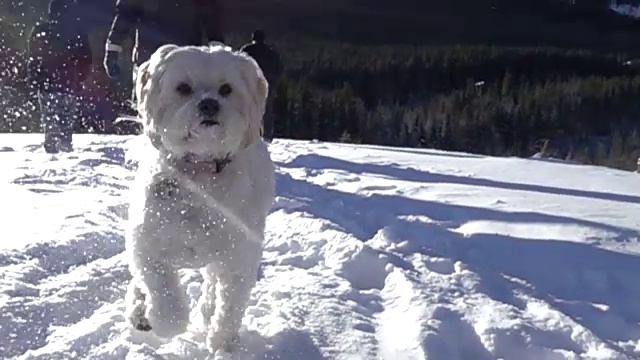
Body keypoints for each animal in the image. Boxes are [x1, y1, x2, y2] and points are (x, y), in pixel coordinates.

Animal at [124, 43, 276, 354]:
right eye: (183, 88)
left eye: (226, 89)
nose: (209, 104)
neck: (201, 172)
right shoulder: (147, 243)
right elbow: (160, 287)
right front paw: (162, 321)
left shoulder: (239, 257)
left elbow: (230, 305)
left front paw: (222, 343)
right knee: (139, 280)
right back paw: (139, 312)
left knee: (211, 286)